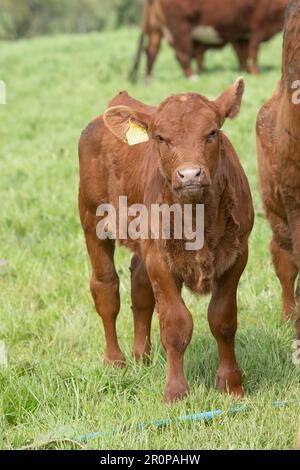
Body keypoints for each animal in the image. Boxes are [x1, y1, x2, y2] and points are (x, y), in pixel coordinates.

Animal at [79, 79, 253, 402]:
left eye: (212, 132)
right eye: (160, 137)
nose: (190, 174)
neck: (198, 219)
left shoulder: (237, 255)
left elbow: (223, 319)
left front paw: (231, 384)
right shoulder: (160, 259)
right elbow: (175, 324)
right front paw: (175, 391)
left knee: (140, 286)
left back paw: (141, 356)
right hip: (92, 221)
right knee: (106, 288)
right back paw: (115, 361)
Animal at [130, 0, 290, 81]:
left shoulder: (241, 34)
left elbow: (242, 55)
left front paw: (246, 72)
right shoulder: (258, 27)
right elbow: (253, 52)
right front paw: (256, 73)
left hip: (155, 29)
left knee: (151, 51)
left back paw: (148, 80)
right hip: (180, 28)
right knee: (181, 54)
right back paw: (193, 76)